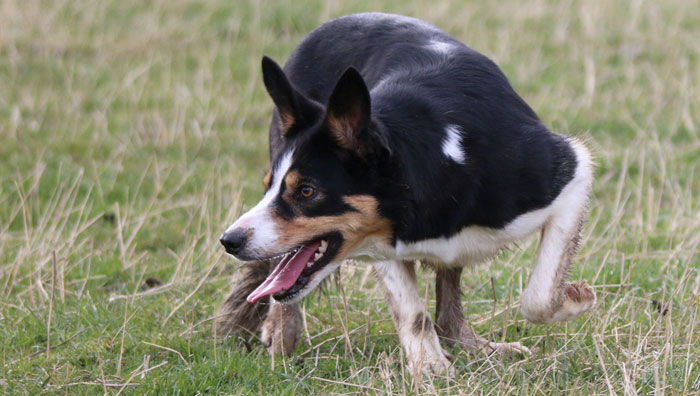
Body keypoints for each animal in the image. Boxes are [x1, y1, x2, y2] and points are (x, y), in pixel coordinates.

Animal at [215, 12, 596, 374]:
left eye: (307, 190)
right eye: (269, 184)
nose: (229, 241)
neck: (438, 162)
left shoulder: (569, 171)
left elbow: (539, 296)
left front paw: (576, 298)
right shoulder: (382, 238)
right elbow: (412, 313)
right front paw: (431, 370)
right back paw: (282, 331)